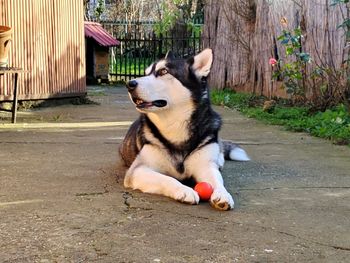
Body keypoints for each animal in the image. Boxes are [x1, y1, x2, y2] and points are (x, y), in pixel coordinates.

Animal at [119, 48, 249, 211]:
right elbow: (167, 178)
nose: (129, 84)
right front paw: (184, 190)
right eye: (146, 73)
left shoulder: (205, 166)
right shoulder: (138, 170)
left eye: (163, 71)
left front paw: (223, 194)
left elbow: (217, 180)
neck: (175, 125)